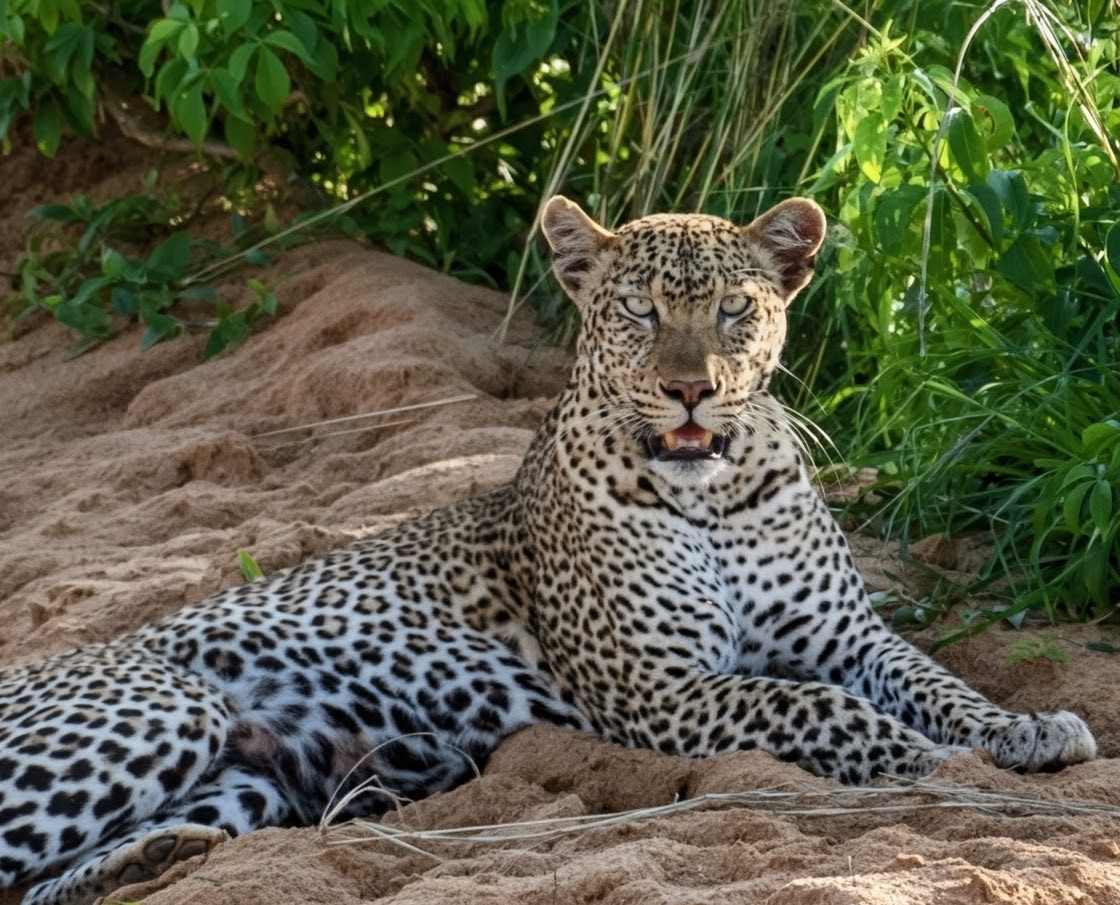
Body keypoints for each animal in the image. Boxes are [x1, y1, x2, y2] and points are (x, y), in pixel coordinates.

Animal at [0, 195, 1096, 905]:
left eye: (734, 309)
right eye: (639, 310)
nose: (691, 389)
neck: (716, 497)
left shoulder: (844, 634)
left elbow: (934, 677)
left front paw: (1023, 729)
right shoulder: (660, 687)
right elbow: (812, 705)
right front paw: (926, 758)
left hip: (249, 776)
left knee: (47, 880)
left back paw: (154, 860)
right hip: (160, 703)